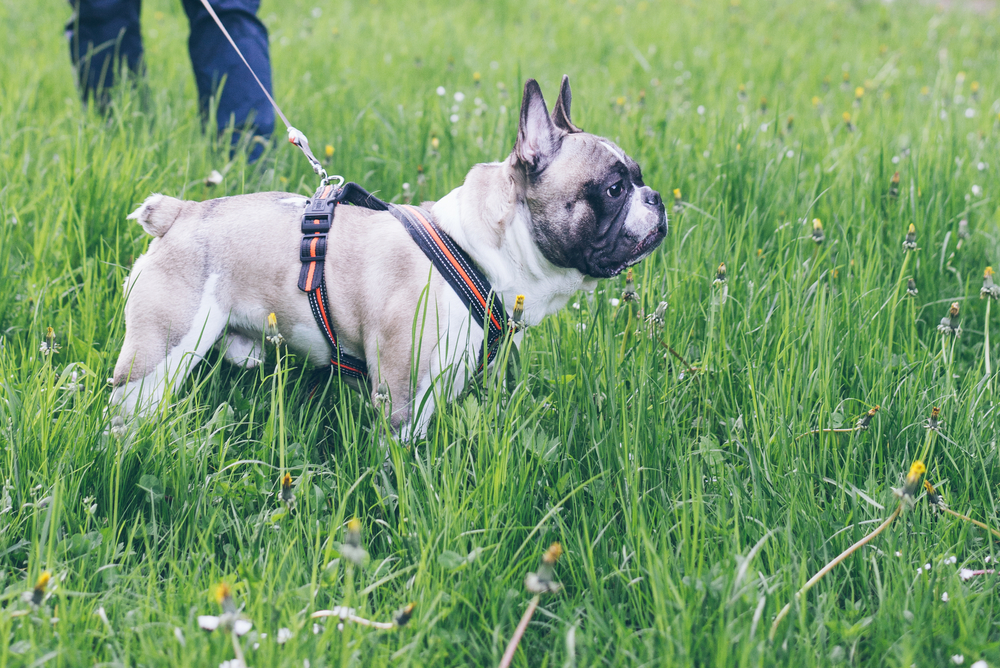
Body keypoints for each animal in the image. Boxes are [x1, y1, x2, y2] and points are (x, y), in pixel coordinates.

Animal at [113, 75, 668, 436]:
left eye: (640, 176)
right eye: (615, 188)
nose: (656, 198)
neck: (477, 252)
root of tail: (181, 214)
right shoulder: (403, 398)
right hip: (159, 356)